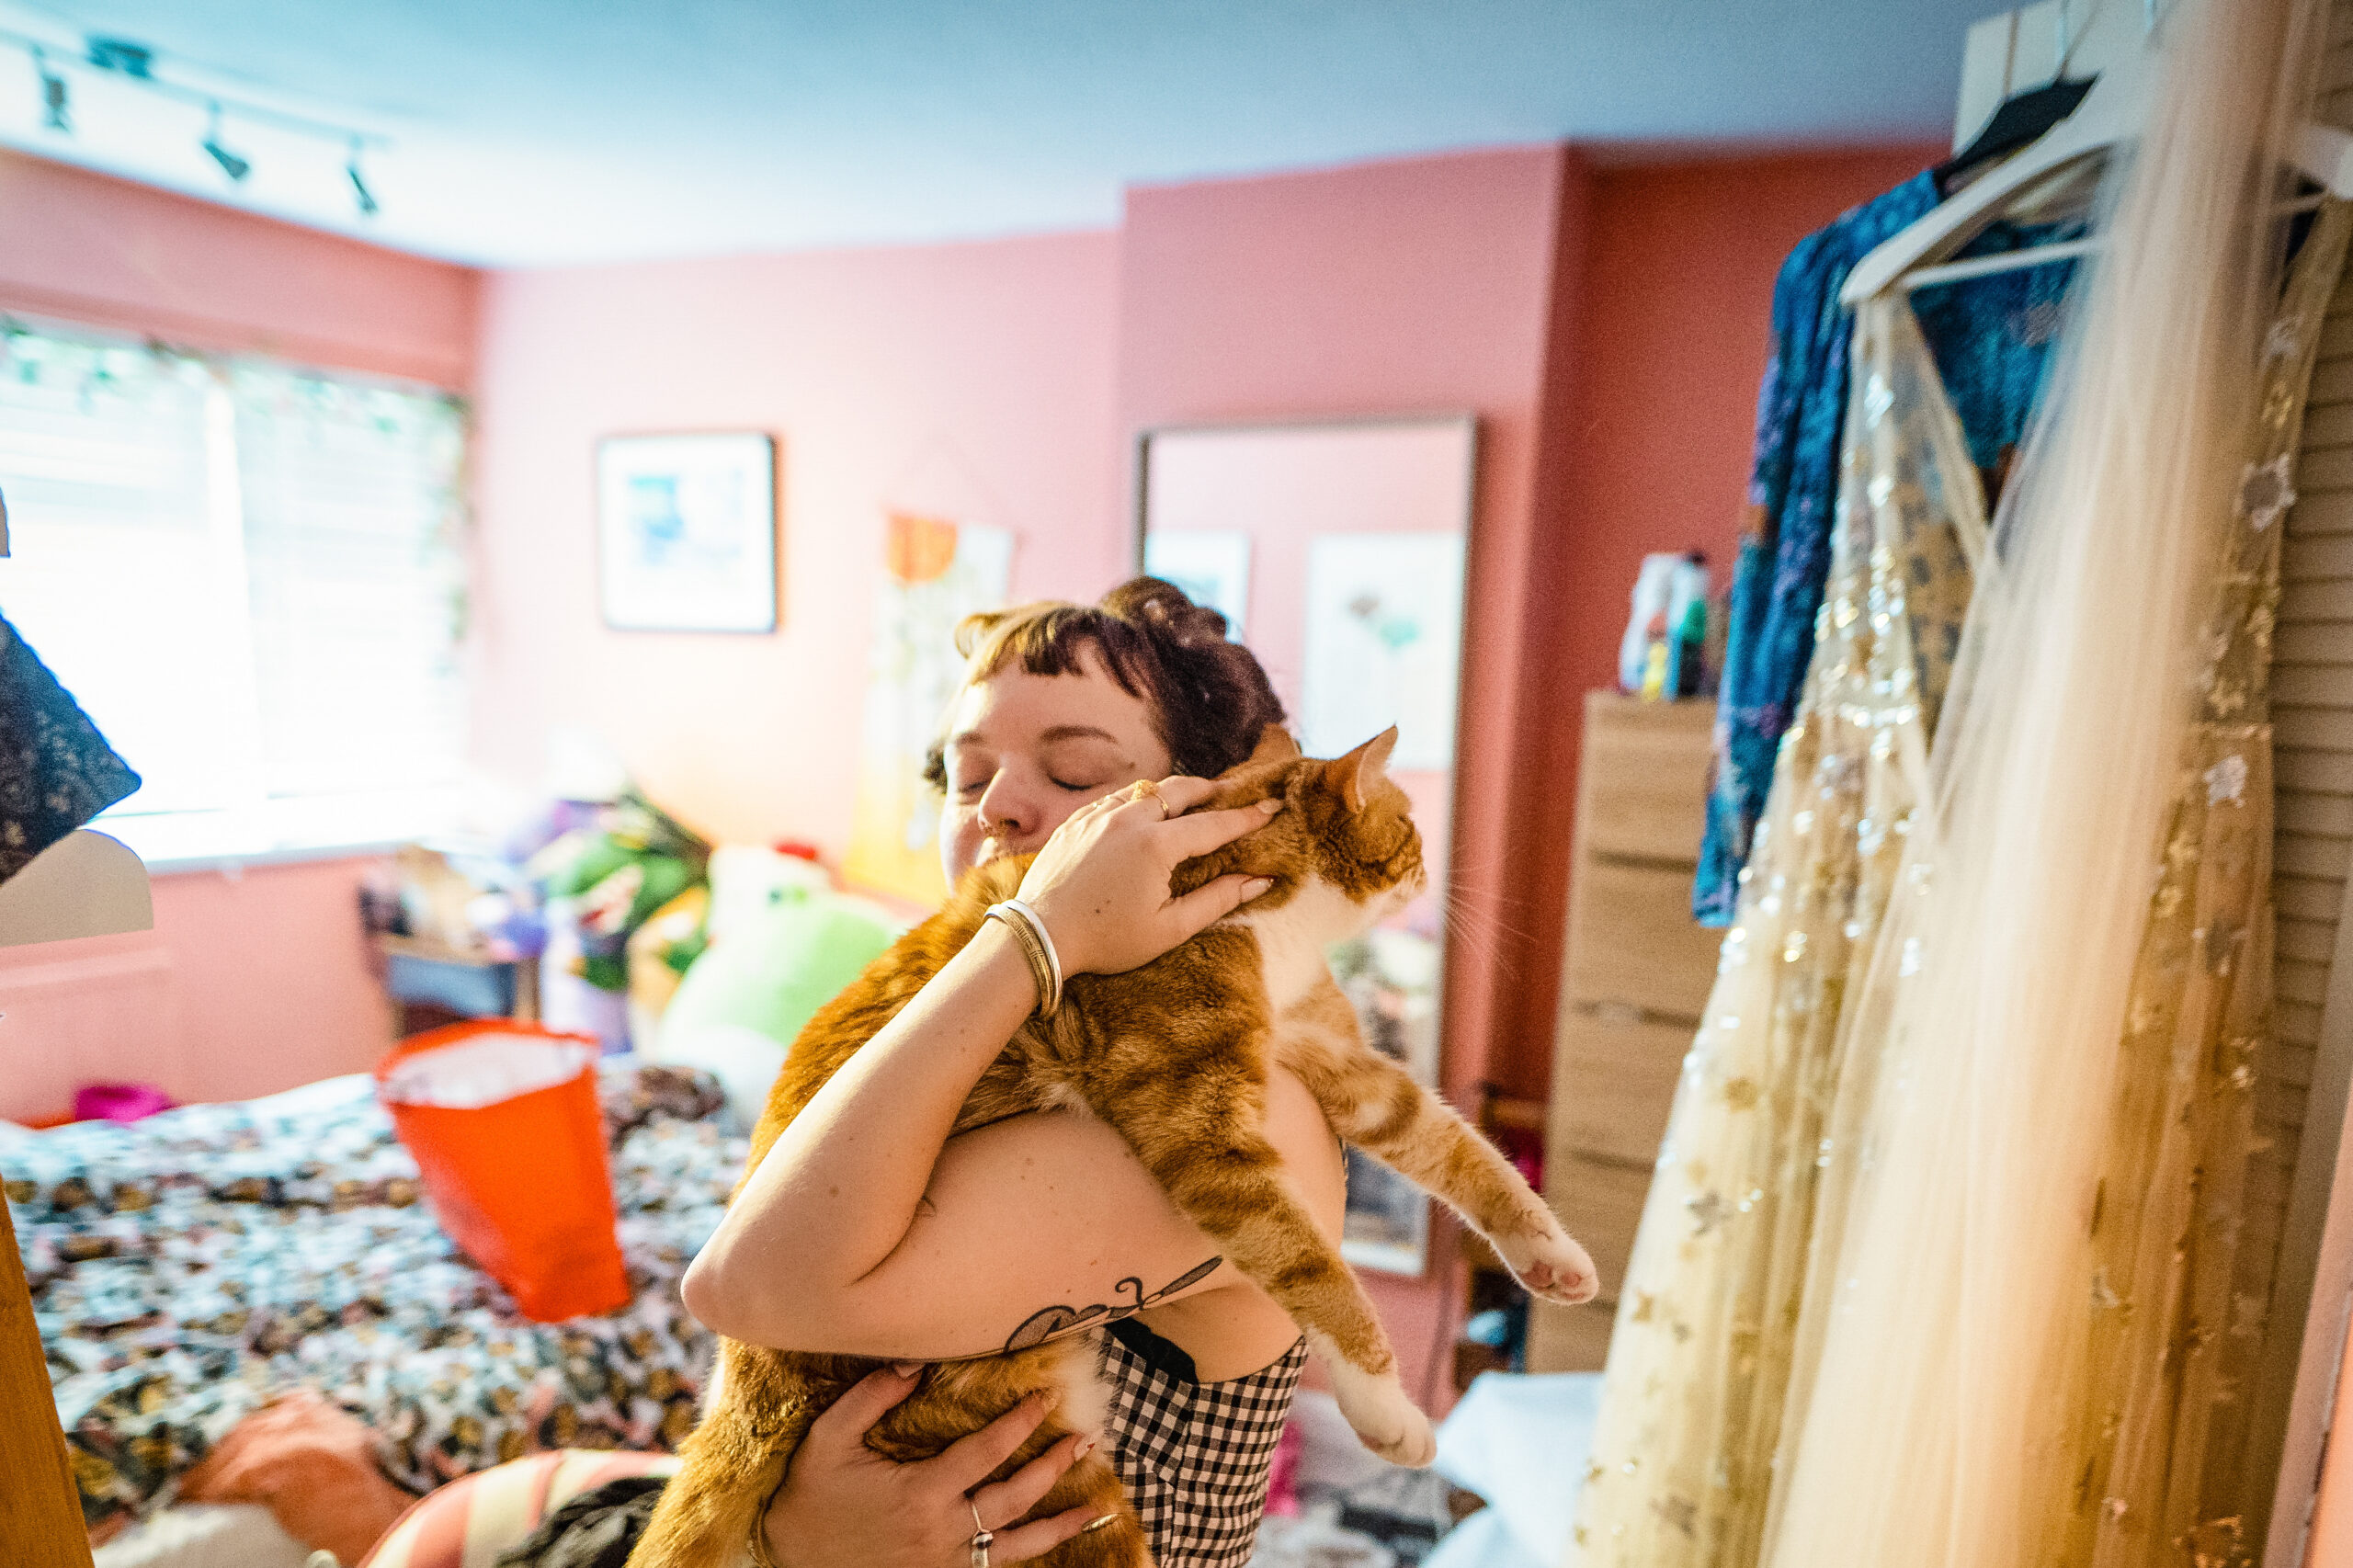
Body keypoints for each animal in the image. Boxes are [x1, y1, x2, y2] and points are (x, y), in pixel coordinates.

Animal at [628, 726, 1596, 1568]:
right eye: (1412, 826)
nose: (1435, 870)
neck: (1272, 921)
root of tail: (744, 1385)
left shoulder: (1340, 1063)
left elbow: (1461, 1151)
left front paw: (1553, 1258)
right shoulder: (1205, 1138)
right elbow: (1319, 1273)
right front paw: (1389, 1413)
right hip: (1031, 1456)